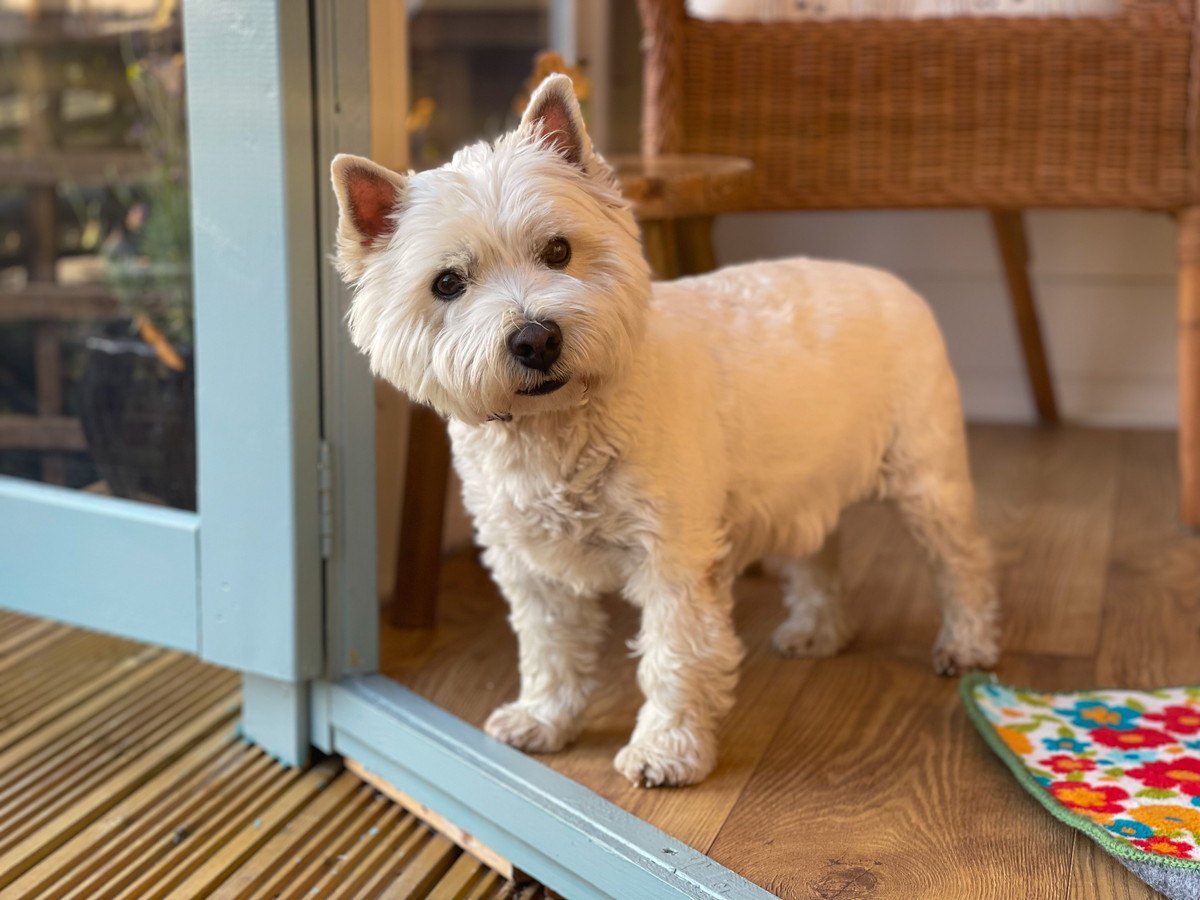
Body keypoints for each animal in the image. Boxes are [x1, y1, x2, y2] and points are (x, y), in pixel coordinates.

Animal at [333, 74, 998, 787]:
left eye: (558, 250)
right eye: (448, 283)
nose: (536, 339)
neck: (555, 431)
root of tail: (894, 284)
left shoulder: (674, 558)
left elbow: (673, 657)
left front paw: (666, 751)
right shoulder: (531, 566)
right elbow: (550, 649)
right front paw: (542, 720)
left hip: (925, 476)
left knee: (963, 561)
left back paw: (968, 646)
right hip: (803, 479)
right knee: (819, 547)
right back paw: (818, 631)